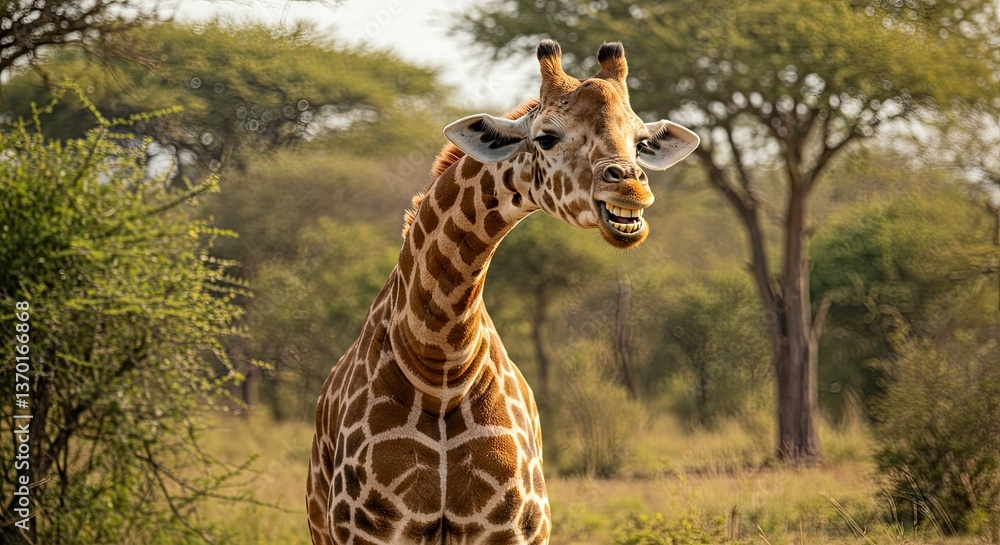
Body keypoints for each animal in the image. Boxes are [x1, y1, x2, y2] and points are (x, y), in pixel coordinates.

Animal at [307, 39, 699, 545]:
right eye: (546, 137)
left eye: (641, 143)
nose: (631, 189)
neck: (441, 364)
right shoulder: (373, 531)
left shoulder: (512, 530)